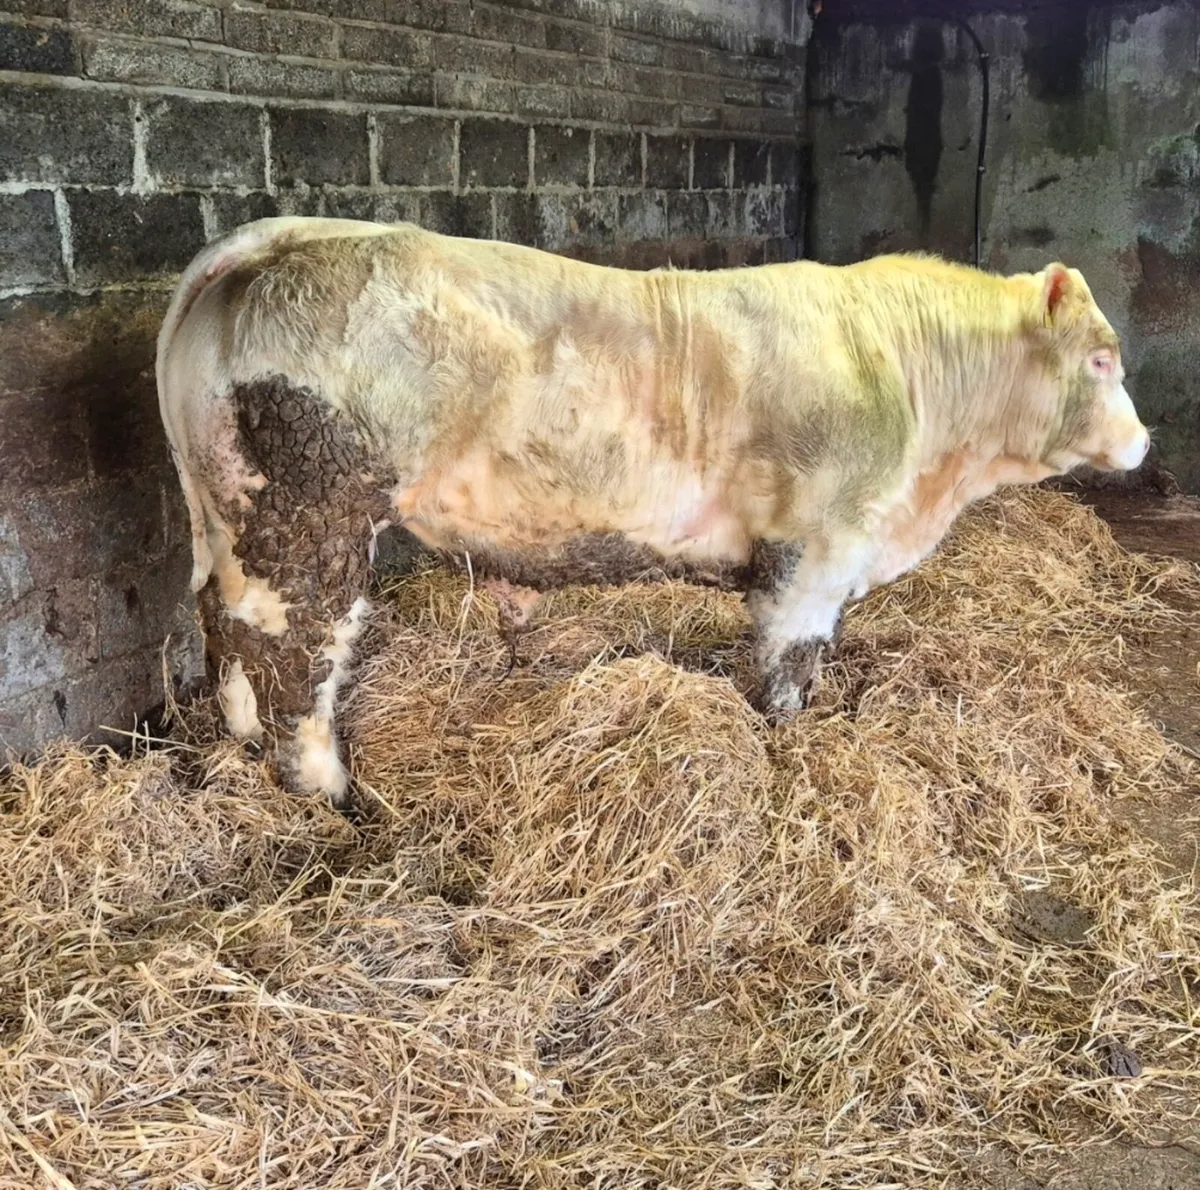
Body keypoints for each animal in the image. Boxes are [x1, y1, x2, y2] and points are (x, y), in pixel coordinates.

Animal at [156, 216, 1150, 809]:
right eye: (1102, 360)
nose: (1142, 443)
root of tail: (281, 237)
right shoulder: (817, 544)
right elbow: (789, 661)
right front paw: (787, 741)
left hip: (228, 504)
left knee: (220, 614)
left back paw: (239, 735)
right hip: (315, 511)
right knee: (298, 645)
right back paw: (323, 786)